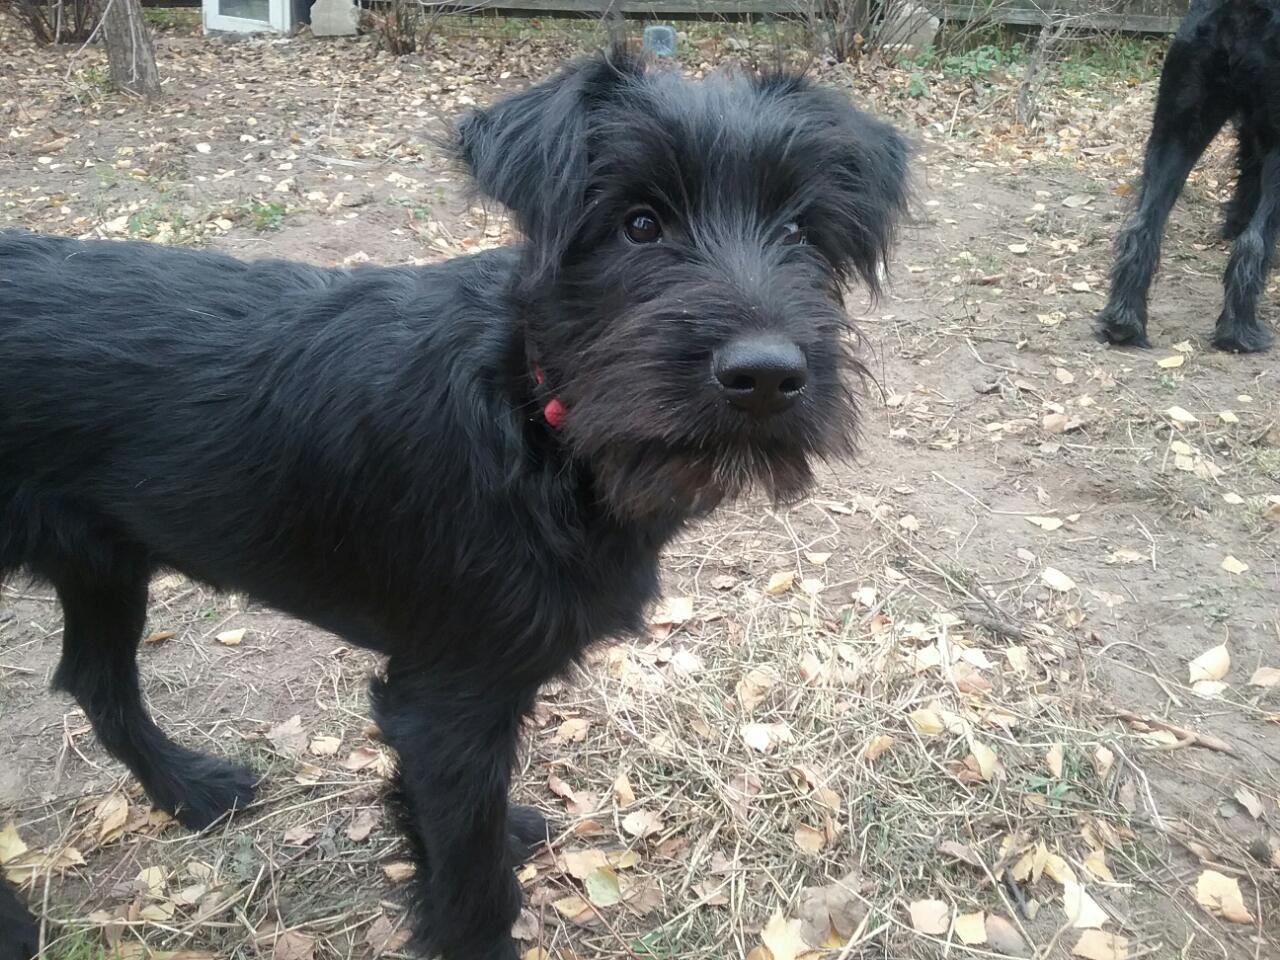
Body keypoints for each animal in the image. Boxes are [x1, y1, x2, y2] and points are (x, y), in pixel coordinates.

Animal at [0, 48, 907, 960]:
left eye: (799, 230)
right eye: (639, 224)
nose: (765, 376)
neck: (532, 418)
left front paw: (502, 832)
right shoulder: (446, 705)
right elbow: (468, 882)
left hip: (103, 567)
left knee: (97, 680)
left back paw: (187, 788)